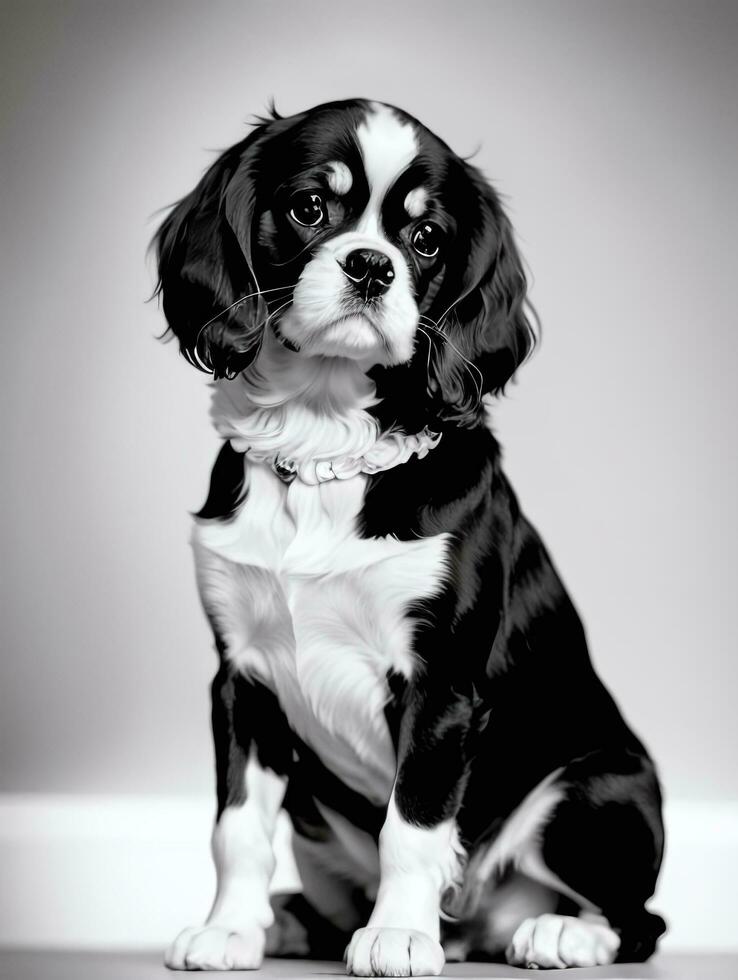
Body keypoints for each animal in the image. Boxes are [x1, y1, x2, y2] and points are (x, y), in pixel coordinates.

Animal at [152, 97, 664, 972]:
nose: (371, 266)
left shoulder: (440, 687)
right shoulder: (242, 679)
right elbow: (237, 826)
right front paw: (229, 927)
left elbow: (414, 825)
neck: (322, 445)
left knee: (639, 919)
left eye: (426, 238)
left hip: (596, 790)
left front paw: (396, 934)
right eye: (309, 207)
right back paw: (287, 921)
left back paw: (559, 931)